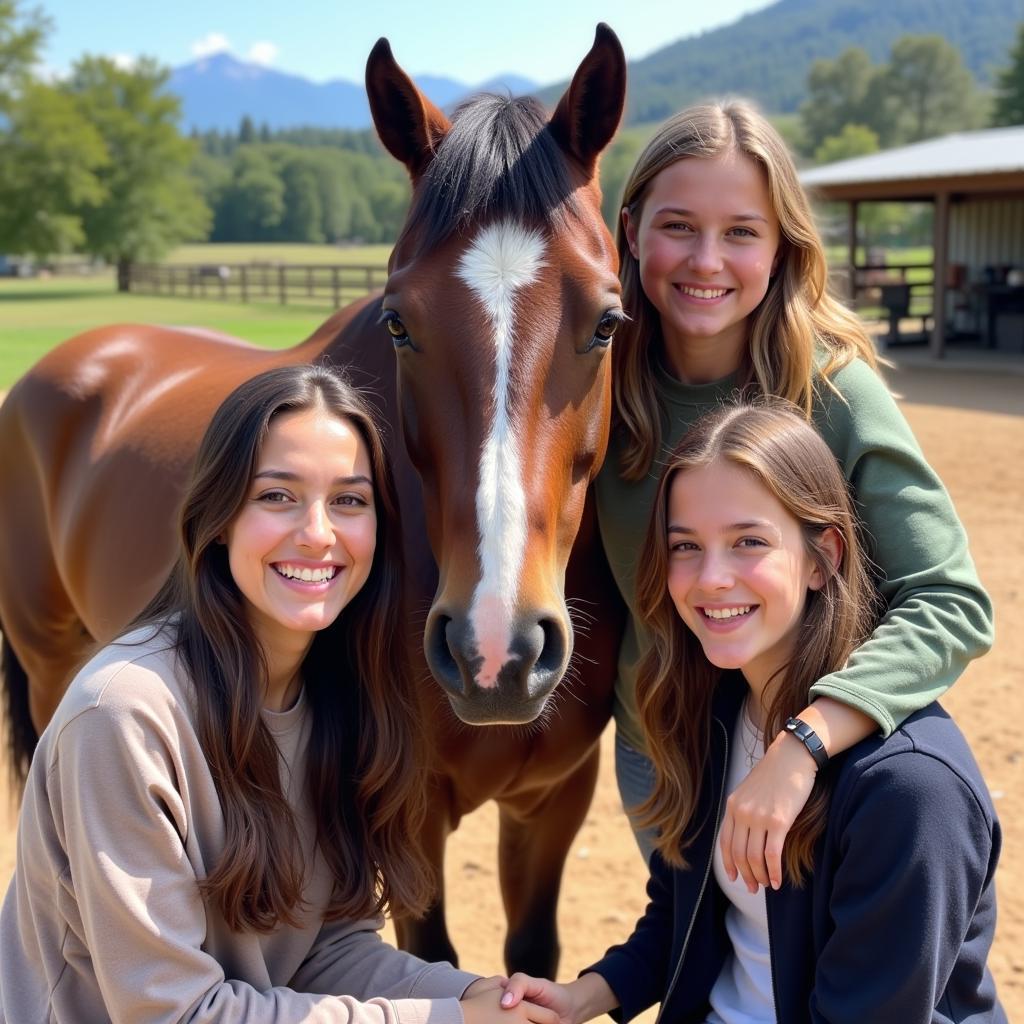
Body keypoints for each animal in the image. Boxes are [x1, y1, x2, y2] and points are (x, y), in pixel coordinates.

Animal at [0, 25, 622, 974]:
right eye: (399, 321)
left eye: (607, 322)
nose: (495, 650)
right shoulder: (407, 815)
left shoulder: (554, 800)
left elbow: (533, 959)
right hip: (49, 668)